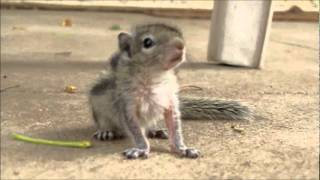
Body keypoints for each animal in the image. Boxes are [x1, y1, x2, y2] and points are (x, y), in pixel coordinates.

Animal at [89, 23, 251, 160]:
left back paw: (155, 131)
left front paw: (182, 148)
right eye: (147, 42)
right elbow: (136, 130)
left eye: (179, 34)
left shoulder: (169, 101)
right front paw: (141, 148)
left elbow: (175, 127)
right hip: (99, 109)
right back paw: (106, 131)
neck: (155, 75)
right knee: (105, 122)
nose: (181, 45)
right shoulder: (127, 103)